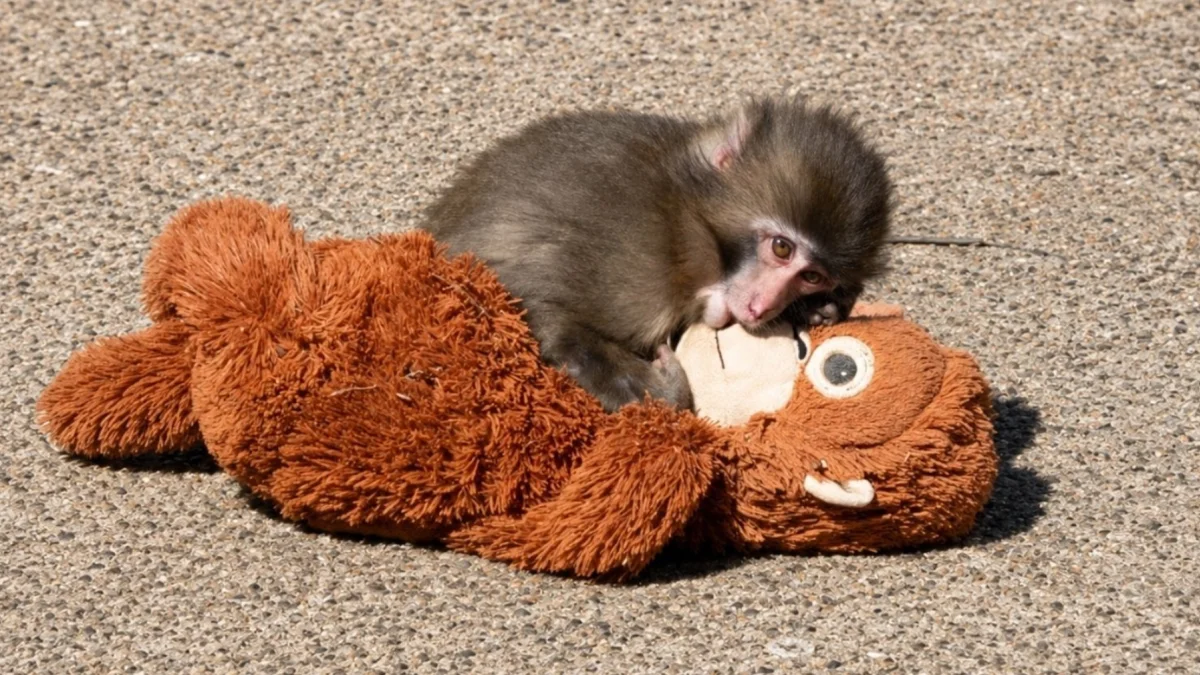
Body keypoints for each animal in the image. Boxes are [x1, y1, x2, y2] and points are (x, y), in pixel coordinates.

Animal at [423, 96, 893, 413]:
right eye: (782, 248)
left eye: (812, 276)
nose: (763, 307)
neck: (686, 223)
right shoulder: (634, 260)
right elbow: (525, 304)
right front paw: (667, 391)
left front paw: (817, 308)